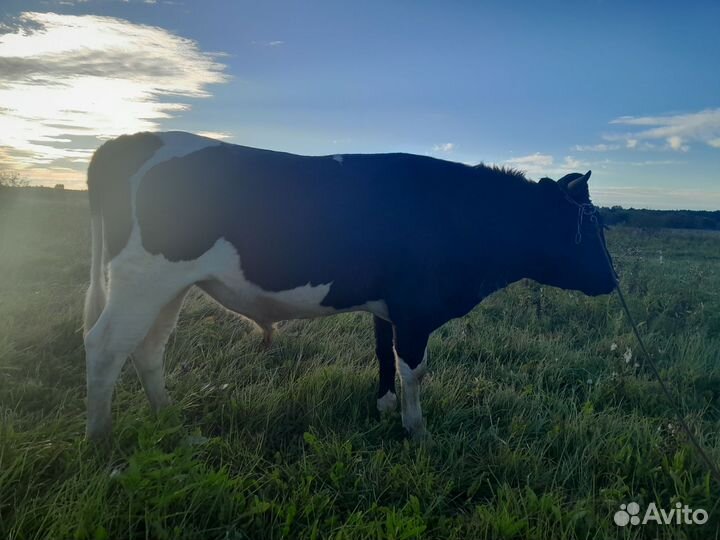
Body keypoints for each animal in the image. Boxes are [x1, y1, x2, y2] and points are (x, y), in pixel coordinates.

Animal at [83, 131, 612, 438]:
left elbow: (384, 356)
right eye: (591, 227)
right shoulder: (415, 307)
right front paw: (416, 430)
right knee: (105, 346)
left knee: (148, 347)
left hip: (168, 287)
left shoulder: (388, 306)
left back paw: (169, 418)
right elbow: (414, 368)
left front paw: (384, 408)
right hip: (143, 280)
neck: (457, 211)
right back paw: (101, 441)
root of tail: (128, 140)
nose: (612, 279)